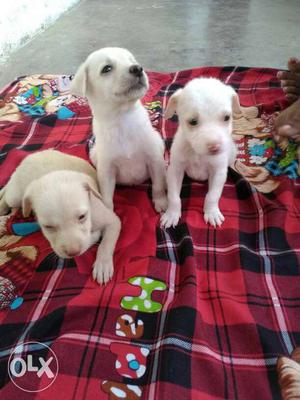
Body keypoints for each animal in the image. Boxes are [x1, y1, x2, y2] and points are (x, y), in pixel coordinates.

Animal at [0, 150, 122, 284]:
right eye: (48, 227)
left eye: (82, 216)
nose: (73, 252)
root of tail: (33, 155)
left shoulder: (110, 220)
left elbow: (106, 243)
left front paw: (103, 265)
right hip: (16, 196)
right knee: (7, 194)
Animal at [71, 47, 168, 212]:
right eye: (107, 68)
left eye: (132, 61)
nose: (138, 68)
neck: (122, 117)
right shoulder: (107, 171)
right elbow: (106, 197)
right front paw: (109, 213)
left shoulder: (154, 159)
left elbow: (158, 185)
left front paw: (161, 203)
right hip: (94, 154)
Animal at [161, 78, 240, 228]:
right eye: (193, 121)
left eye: (227, 117)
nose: (215, 146)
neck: (196, 152)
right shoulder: (175, 171)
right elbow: (173, 197)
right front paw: (171, 214)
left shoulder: (218, 173)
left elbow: (212, 195)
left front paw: (212, 212)